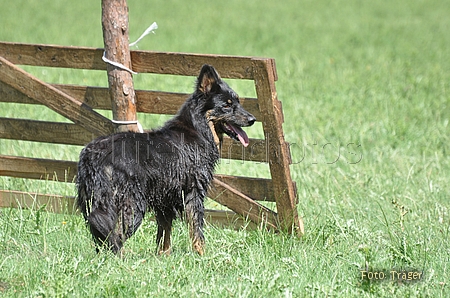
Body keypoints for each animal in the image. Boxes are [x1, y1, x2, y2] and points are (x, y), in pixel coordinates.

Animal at [75, 64, 255, 255]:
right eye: (227, 106)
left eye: (237, 102)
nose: (253, 119)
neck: (198, 129)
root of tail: (94, 155)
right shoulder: (193, 192)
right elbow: (197, 229)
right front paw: (202, 255)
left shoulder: (165, 199)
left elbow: (164, 232)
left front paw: (163, 256)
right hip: (132, 205)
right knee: (115, 235)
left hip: (93, 202)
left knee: (102, 234)